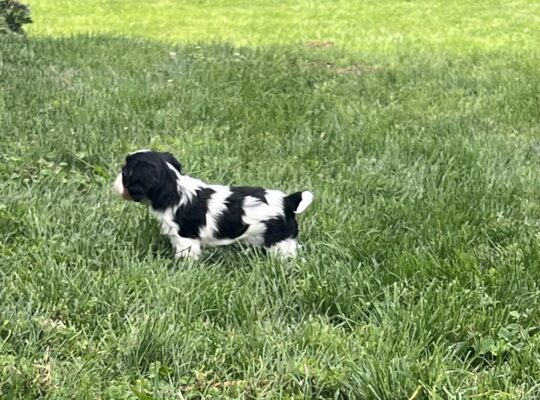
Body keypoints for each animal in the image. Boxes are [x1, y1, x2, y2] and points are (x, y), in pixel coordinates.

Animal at [112, 150, 314, 260]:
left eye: (125, 172)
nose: (115, 182)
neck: (175, 188)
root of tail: (287, 200)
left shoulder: (185, 239)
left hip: (280, 241)